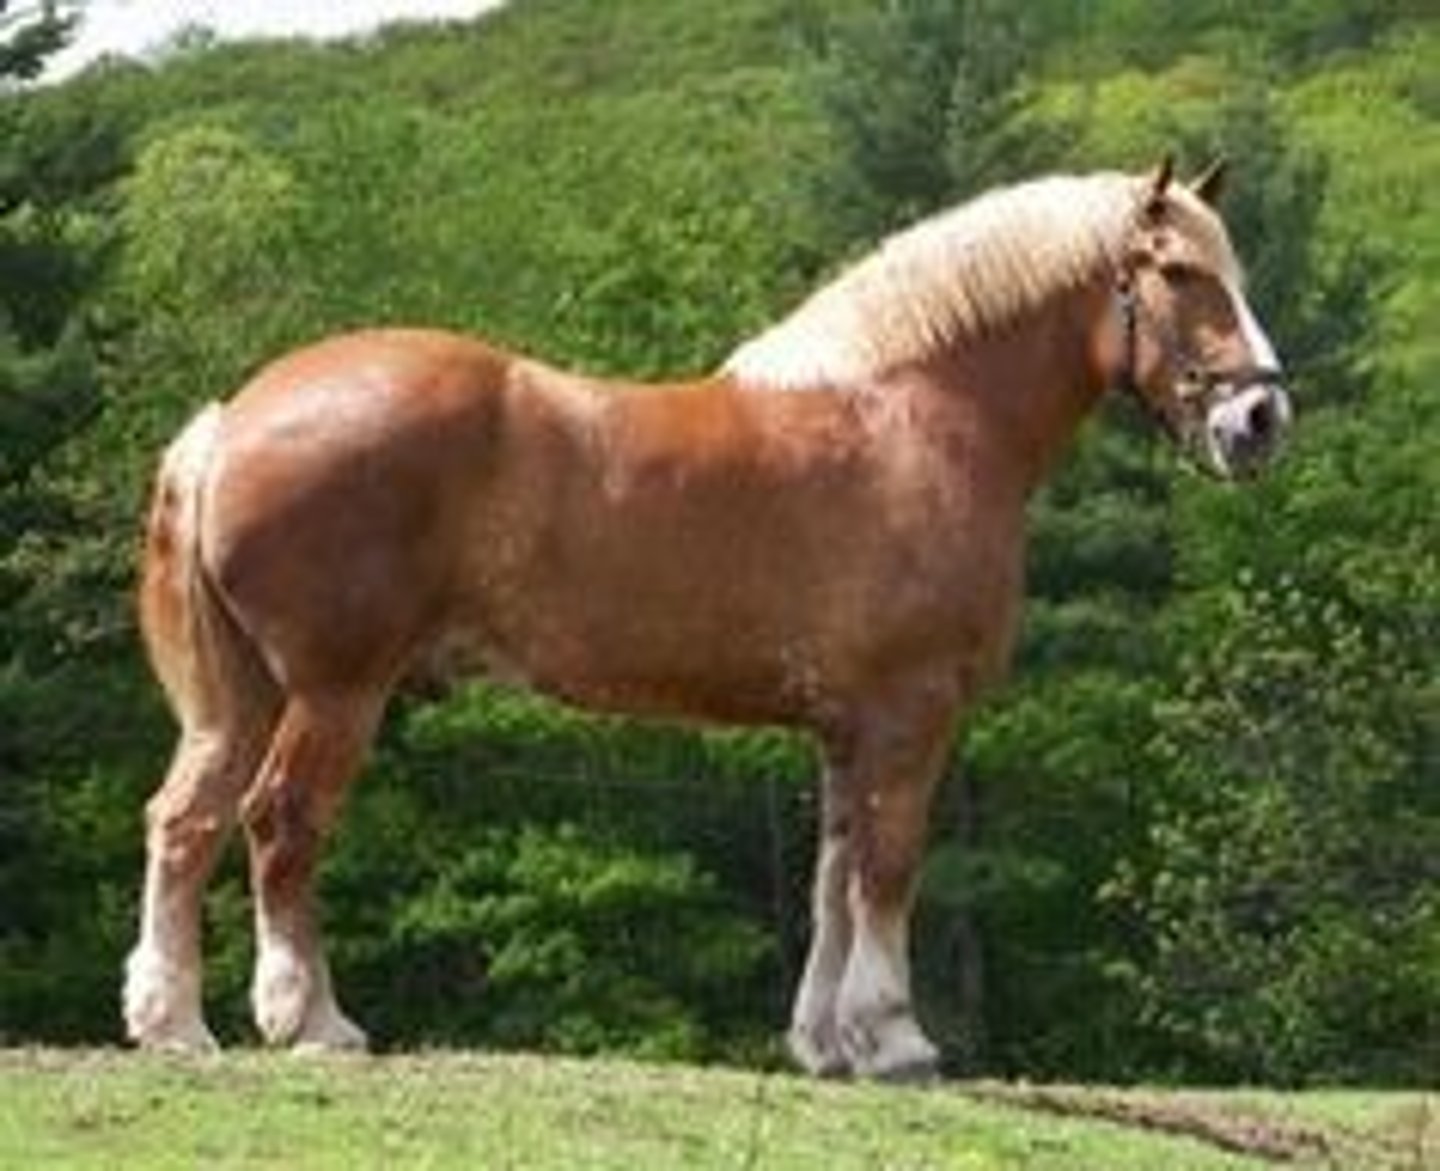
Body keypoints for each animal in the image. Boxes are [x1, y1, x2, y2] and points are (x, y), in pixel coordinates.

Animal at [124, 158, 1291, 1079]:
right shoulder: (908, 714)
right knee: (280, 823)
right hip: (337, 690)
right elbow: (889, 866)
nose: (1261, 416)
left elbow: (832, 879)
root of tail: (233, 419)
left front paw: (826, 1041)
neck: (914, 413)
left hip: (244, 699)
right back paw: (312, 1020)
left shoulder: (844, 727)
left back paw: (173, 1022)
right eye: (1179, 273)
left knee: (184, 821)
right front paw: (896, 1038)